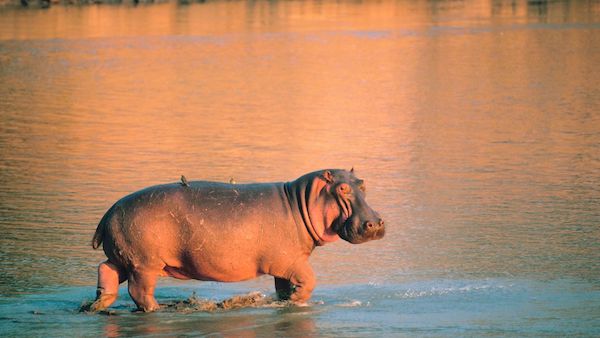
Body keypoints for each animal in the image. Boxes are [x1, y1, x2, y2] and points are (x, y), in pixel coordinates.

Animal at [89, 168, 384, 312]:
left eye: (363, 183)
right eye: (343, 188)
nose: (376, 223)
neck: (301, 200)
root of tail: (108, 212)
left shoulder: (286, 265)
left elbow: (283, 287)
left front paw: (288, 300)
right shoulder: (289, 260)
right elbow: (310, 279)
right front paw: (298, 298)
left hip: (124, 258)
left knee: (106, 272)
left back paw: (97, 305)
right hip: (144, 264)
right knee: (139, 291)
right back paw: (157, 309)